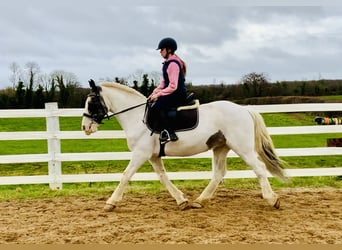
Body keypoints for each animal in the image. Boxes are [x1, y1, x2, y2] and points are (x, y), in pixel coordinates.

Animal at [81, 79, 288, 211]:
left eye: (91, 103)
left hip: (242, 148)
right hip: (221, 147)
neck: (137, 116)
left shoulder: (141, 154)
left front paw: (111, 202)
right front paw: (181, 200)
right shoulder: (153, 156)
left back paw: (272, 199)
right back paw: (200, 201)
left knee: (259, 168)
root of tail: (244, 109)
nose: (85, 127)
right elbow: (163, 177)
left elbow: (126, 175)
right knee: (219, 173)